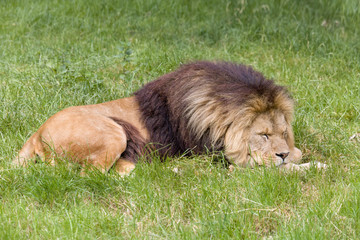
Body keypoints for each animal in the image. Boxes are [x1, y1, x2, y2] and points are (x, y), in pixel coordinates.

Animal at [12, 61, 324, 173]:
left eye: (283, 133)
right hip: (116, 133)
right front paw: (312, 166)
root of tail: (37, 133)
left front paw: (301, 158)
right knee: (93, 175)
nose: (282, 153)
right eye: (263, 135)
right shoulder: (218, 159)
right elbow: (273, 170)